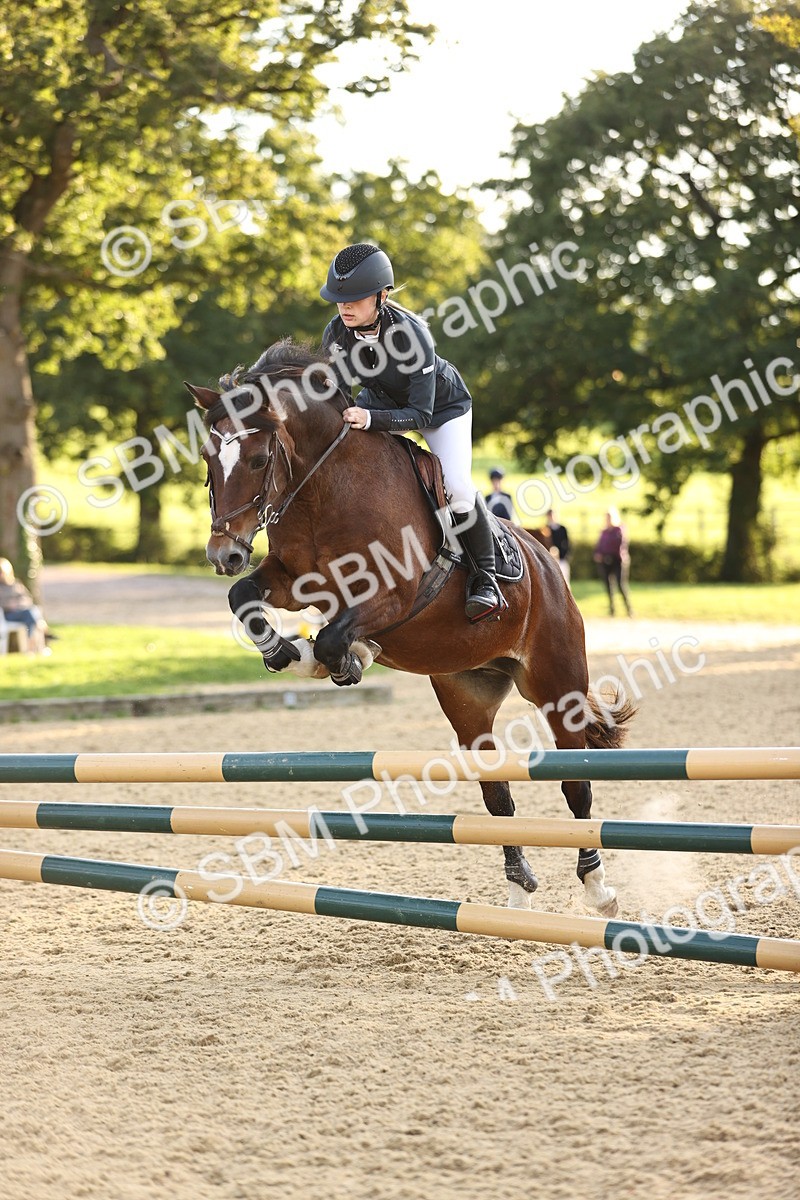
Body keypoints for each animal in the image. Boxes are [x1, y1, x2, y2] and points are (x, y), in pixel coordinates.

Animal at [186, 339, 635, 915]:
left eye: (260, 458)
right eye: (207, 459)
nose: (224, 554)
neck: (322, 490)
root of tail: (546, 561)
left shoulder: (393, 594)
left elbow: (331, 638)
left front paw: (342, 658)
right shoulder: (292, 580)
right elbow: (245, 599)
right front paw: (290, 653)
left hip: (560, 686)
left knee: (576, 784)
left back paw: (599, 889)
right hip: (468, 695)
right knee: (497, 792)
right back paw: (517, 888)